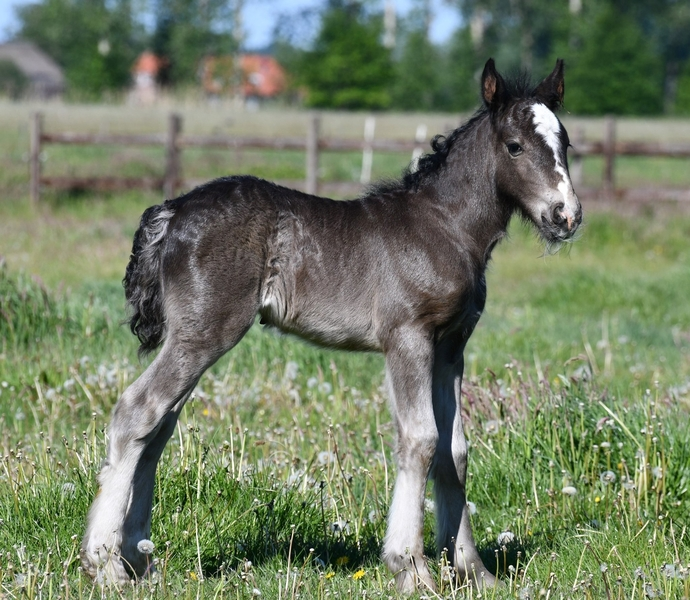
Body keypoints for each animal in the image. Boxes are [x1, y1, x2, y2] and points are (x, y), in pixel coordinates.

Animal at [81, 58, 581, 592]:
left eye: (566, 143)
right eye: (515, 145)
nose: (566, 215)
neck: (446, 227)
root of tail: (172, 212)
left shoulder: (451, 347)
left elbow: (455, 450)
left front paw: (473, 570)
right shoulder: (408, 338)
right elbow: (421, 440)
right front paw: (412, 568)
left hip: (190, 337)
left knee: (158, 428)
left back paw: (140, 562)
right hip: (203, 335)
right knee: (137, 411)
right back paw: (106, 564)